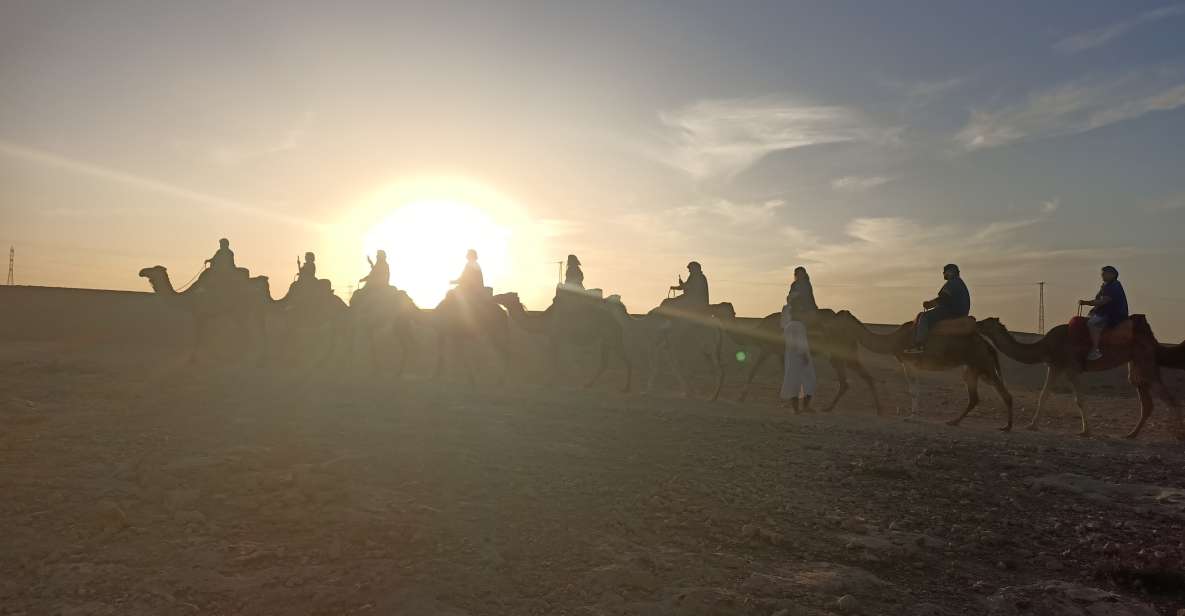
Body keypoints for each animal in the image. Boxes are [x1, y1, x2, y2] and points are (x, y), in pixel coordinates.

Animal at [138, 262, 268, 360]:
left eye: (154, 269)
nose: (141, 271)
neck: (188, 298)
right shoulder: (206, 316)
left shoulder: (199, 314)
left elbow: (198, 336)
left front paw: (193, 358)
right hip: (253, 310)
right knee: (258, 329)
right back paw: (260, 357)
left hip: (242, 309)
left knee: (249, 331)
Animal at [495, 291, 635, 393]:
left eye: (506, 295)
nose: (496, 297)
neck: (544, 322)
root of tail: (617, 320)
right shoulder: (559, 339)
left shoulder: (554, 337)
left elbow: (554, 360)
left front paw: (548, 383)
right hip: (605, 339)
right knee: (604, 363)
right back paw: (588, 384)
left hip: (612, 337)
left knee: (626, 359)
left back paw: (626, 388)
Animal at [725, 312, 886, 414]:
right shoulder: (778, 353)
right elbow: (781, 373)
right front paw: (789, 400)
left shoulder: (768, 349)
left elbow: (753, 371)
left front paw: (740, 398)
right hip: (843, 353)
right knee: (857, 379)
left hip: (841, 352)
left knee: (851, 380)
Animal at [824, 312, 1009, 428]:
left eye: (838, 318)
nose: (829, 323)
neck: (893, 340)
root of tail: (987, 344)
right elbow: (915, 389)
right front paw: (914, 416)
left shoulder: (908, 361)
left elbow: (913, 390)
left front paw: (911, 417)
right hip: (972, 368)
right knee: (976, 397)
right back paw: (954, 422)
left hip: (982, 364)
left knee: (1002, 392)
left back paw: (1006, 427)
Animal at [976, 315, 1180, 440]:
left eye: (986, 322)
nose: (976, 322)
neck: (1045, 346)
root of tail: (1152, 338)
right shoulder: (1057, 367)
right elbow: (1048, 395)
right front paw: (1032, 425)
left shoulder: (1069, 367)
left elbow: (1076, 399)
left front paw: (1085, 431)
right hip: (1136, 365)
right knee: (1147, 400)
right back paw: (1131, 434)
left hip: (1145, 361)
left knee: (1168, 398)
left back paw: (1177, 435)